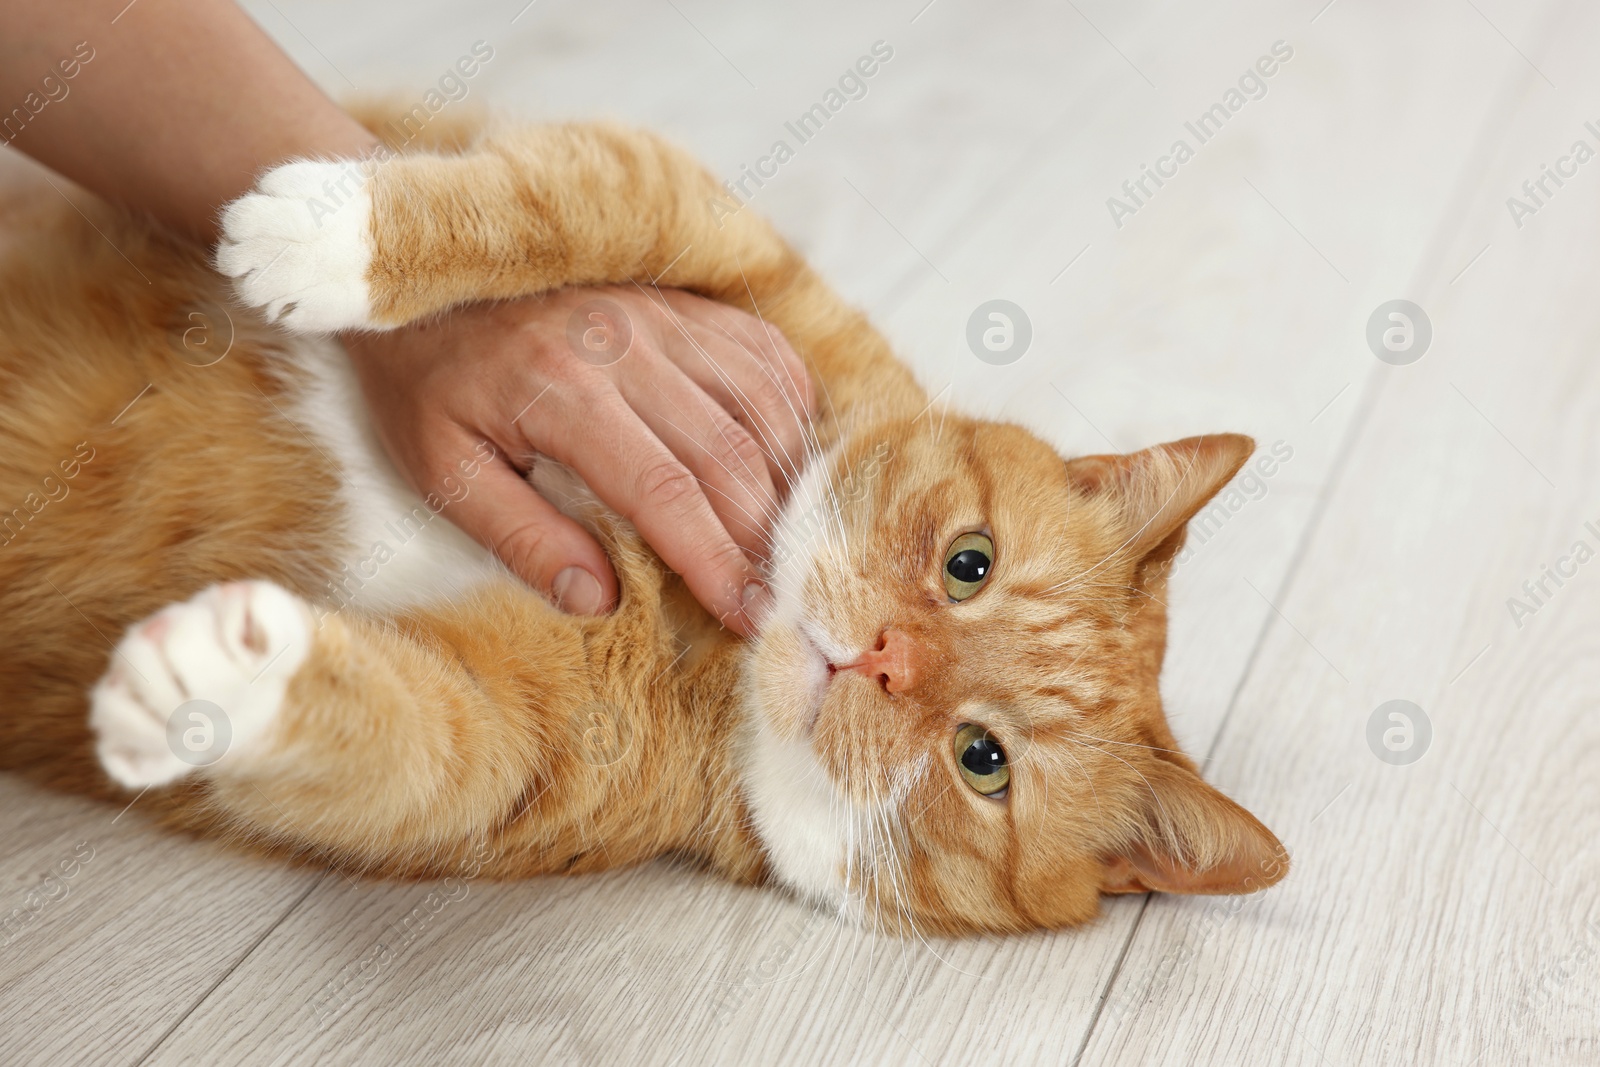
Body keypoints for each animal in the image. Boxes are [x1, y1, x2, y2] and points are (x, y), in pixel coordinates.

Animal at [0, 110, 1286, 934]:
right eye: (967, 563)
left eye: (983, 761)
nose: (879, 655)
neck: (721, 636)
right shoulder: (711, 239)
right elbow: (555, 210)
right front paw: (320, 236)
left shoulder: (498, 747)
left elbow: (396, 729)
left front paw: (209, 675)